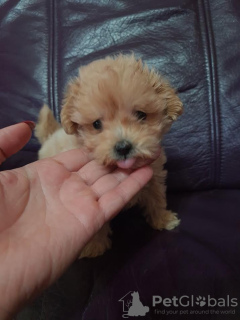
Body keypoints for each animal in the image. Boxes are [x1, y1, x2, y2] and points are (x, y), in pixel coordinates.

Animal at [34, 53, 183, 258]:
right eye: (96, 124)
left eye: (141, 115)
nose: (123, 147)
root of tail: (49, 136)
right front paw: (95, 246)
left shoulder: (154, 176)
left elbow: (157, 198)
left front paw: (163, 219)